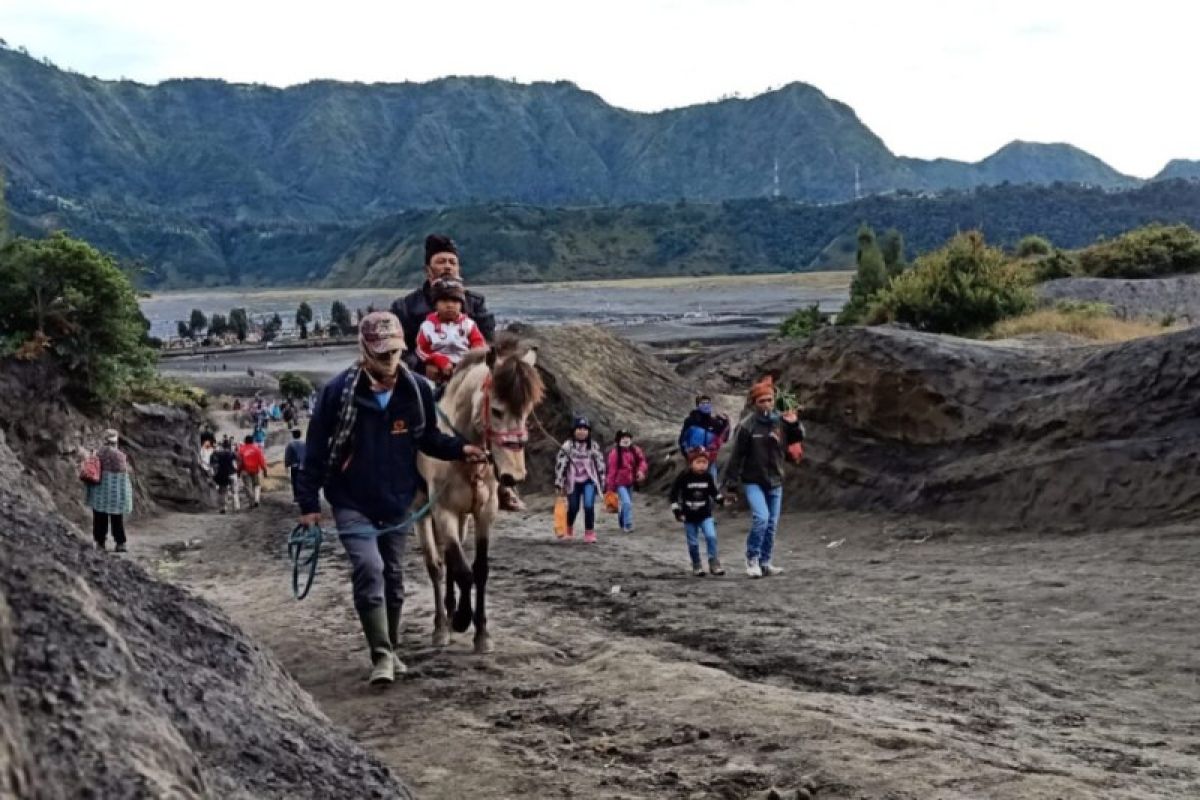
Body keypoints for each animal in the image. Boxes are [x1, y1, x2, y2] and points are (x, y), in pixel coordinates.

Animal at [412, 340, 544, 652]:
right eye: (496, 411)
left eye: (527, 411)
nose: (513, 476)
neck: (461, 452)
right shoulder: (443, 512)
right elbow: (462, 571)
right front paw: (462, 619)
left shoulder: (484, 512)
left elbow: (478, 569)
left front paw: (481, 632)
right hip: (423, 511)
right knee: (435, 565)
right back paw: (441, 625)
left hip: (463, 516)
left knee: (449, 558)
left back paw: (450, 611)